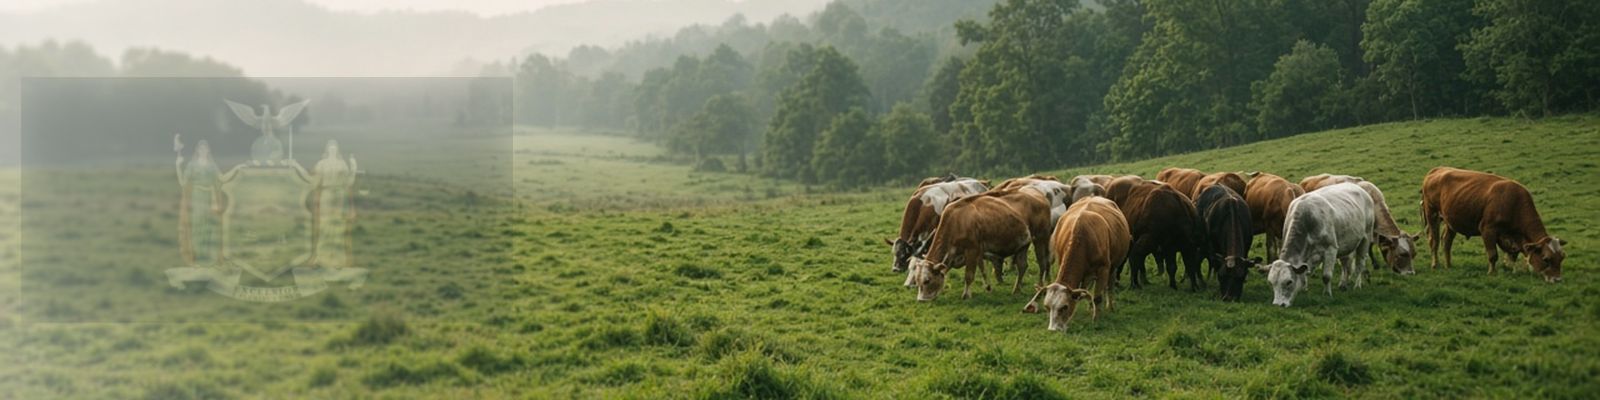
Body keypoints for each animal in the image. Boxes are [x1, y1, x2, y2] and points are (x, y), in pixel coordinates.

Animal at [1022, 197, 1129, 332]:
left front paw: (1096, 320)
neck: (1082, 235)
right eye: (1047, 307)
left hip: (1113, 267)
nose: (1053, 330)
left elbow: (1097, 297)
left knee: (1109, 286)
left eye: (1065, 307)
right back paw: (1090, 306)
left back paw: (1110, 306)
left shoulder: (1103, 268)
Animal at [1421, 167, 1567, 283]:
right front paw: (1492, 273)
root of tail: (1437, 169)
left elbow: (1512, 256)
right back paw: (1435, 264)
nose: (1557, 279)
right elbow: (1492, 254)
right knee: (1434, 241)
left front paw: (1511, 270)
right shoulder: (1487, 229)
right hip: (1432, 214)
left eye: (1561, 258)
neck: (1513, 202)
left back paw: (1449, 265)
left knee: (1446, 241)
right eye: (1546, 259)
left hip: (1451, 220)